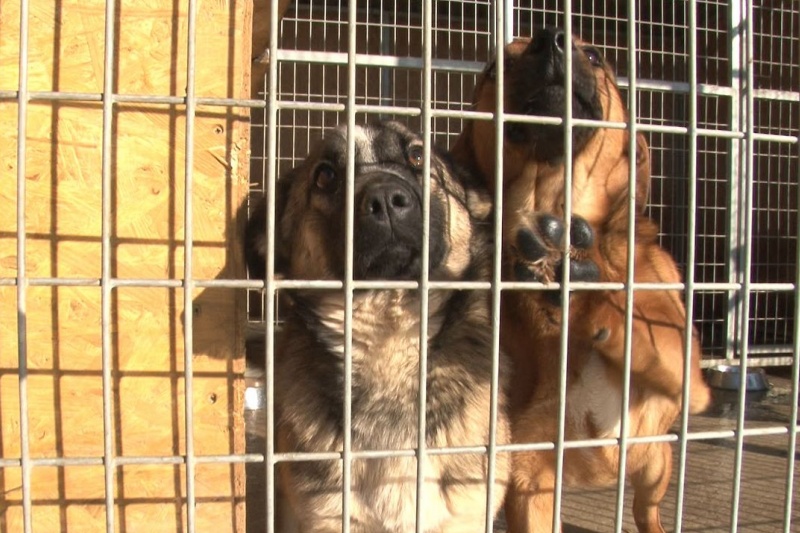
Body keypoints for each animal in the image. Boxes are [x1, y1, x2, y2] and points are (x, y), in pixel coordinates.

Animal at [451, 29, 711, 533]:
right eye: (494, 68)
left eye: (593, 54)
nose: (550, 38)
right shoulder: (530, 480)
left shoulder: (688, 376)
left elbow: (643, 324)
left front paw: (584, 284)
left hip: (657, 464)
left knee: (646, 509)